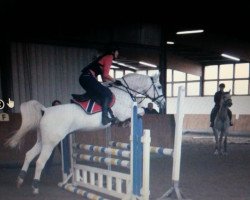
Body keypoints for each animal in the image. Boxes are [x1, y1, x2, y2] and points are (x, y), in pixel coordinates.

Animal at [4, 72, 165, 195]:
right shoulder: (126, 112)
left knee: (29, 155)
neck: (124, 92)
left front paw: (125, 124)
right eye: (159, 86)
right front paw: (127, 123)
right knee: (40, 162)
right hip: (51, 142)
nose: (163, 103)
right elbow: (141, 111)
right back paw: (35, 187)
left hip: (42, 141)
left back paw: (20, 180)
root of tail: (46, 110)